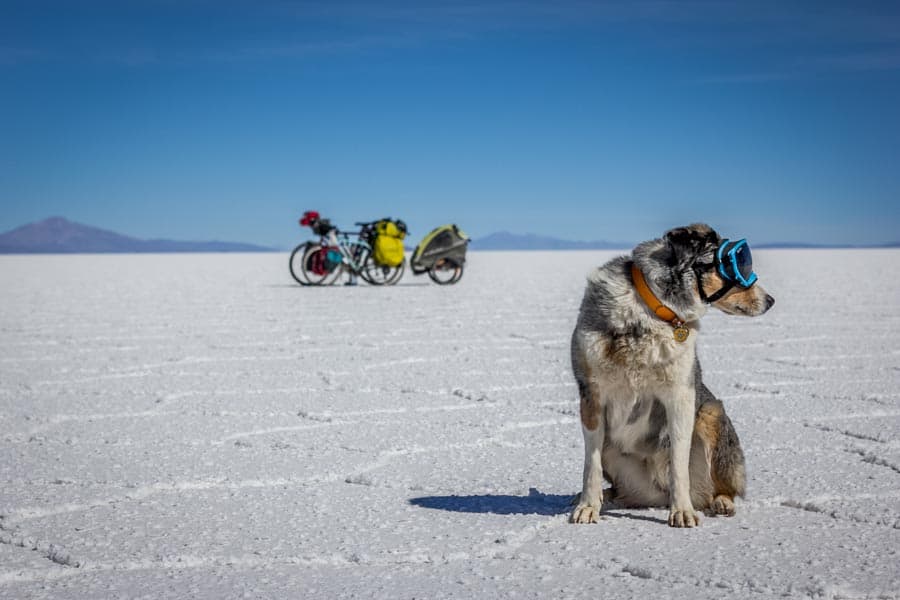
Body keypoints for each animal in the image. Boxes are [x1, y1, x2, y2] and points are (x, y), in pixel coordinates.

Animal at [568, 223, 772, 528]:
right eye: (737, 263)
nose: (771, 301)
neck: (651, 310)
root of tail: (656, 493)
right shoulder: (591, 396)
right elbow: (590, 464)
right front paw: (588, 506)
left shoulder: (681, 395)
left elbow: (679, 463)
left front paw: (682, 512)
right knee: (619, 487)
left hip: (712, 414)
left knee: (722, 488)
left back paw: (720, 502)